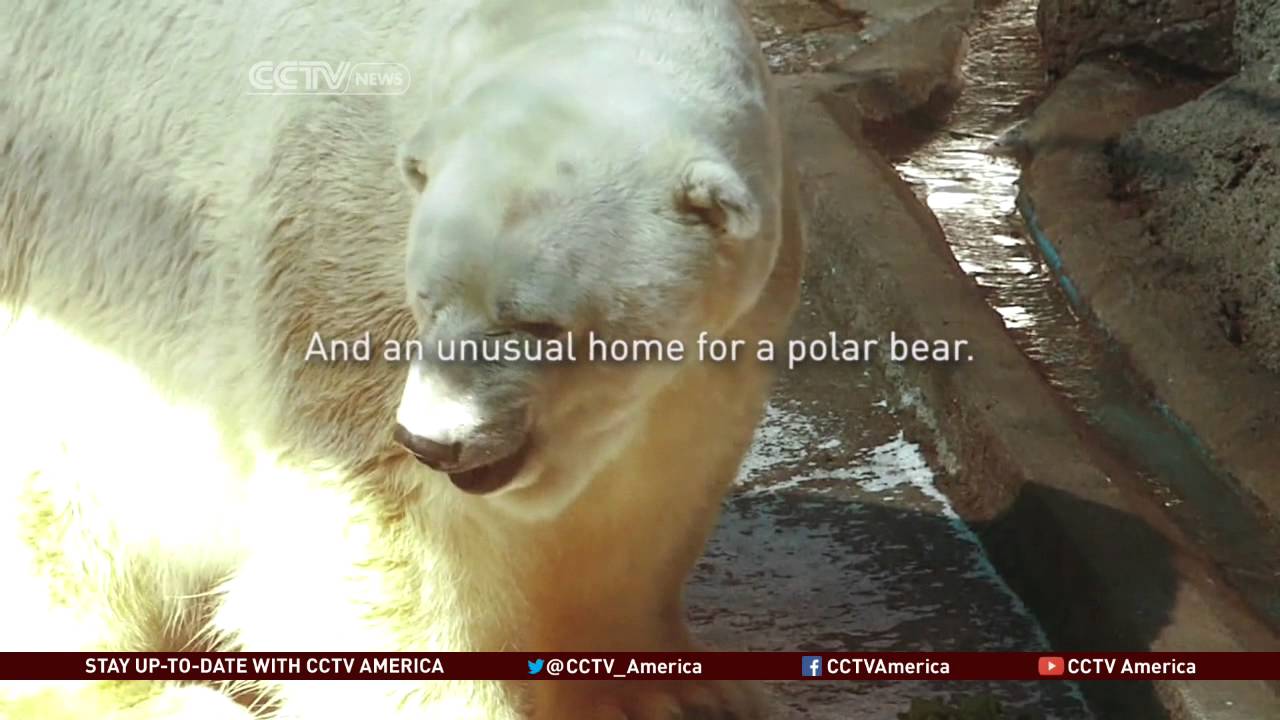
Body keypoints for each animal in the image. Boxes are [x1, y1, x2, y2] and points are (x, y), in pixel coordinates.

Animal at [0, 0, 805, 717]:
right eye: (428, 299)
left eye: (538, 322)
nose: (434, 441)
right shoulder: (337, 249)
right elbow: (381, 535)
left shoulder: (726, 338)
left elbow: (651, 494)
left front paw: (677, 694)